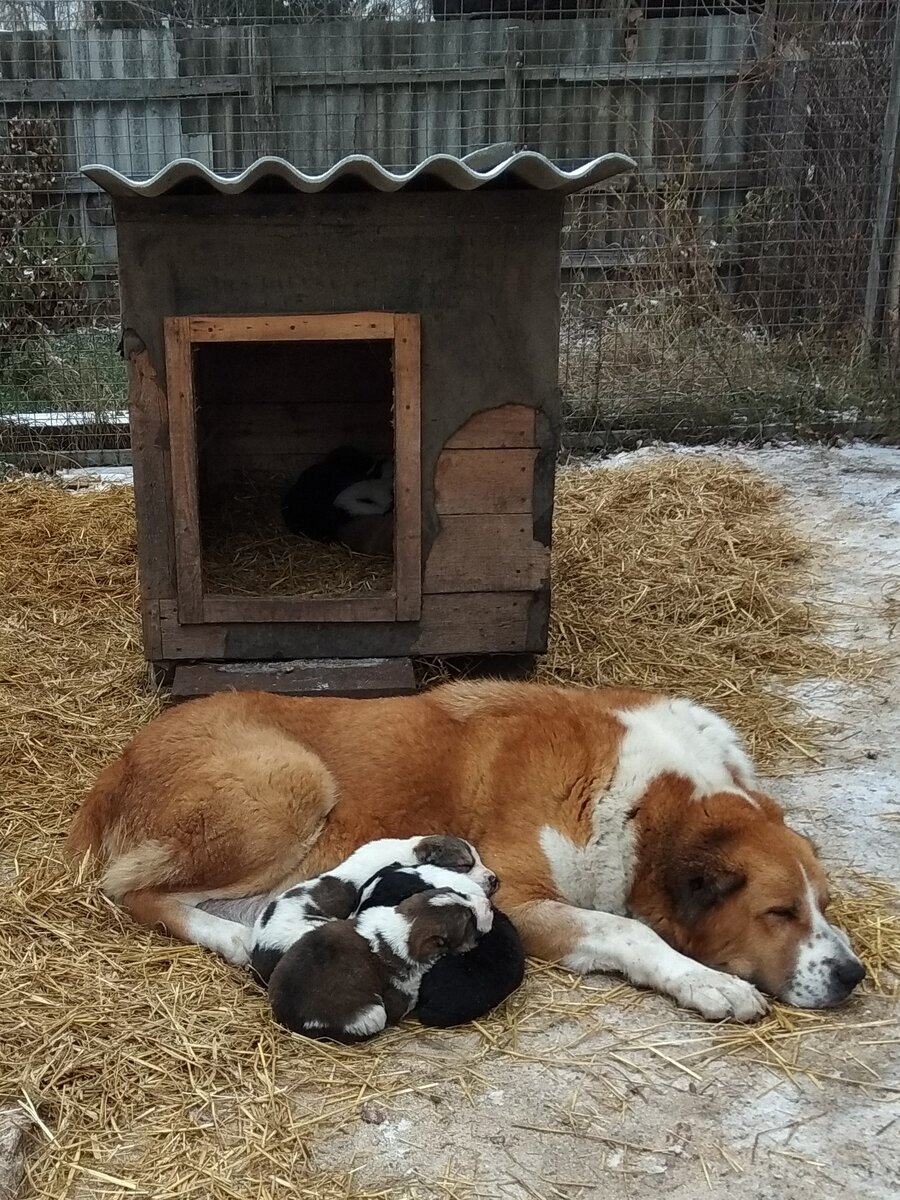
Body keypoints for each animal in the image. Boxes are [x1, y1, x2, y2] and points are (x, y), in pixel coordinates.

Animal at [267, 888, 494, 1046]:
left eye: (460, 893)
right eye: (468, 920)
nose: (489, 905)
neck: (406, 926)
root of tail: (291, 1018)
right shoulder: (403, 990)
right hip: (373, 1013)